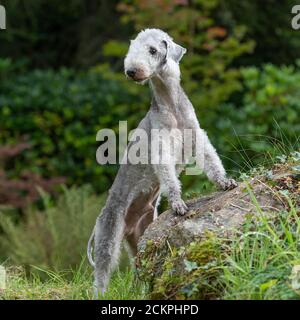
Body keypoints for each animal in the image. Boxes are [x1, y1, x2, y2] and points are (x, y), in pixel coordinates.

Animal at [86, 28, 237, 298]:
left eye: (153, 50)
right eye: (132, 49)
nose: (131, 71)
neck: (170, 102)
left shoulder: (196, 135)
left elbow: (211, 159)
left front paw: (225, 182)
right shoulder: (161, 148)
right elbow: (170, 178)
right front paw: (178, 204)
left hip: (141, 239)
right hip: (108, 236)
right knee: (101, 276)